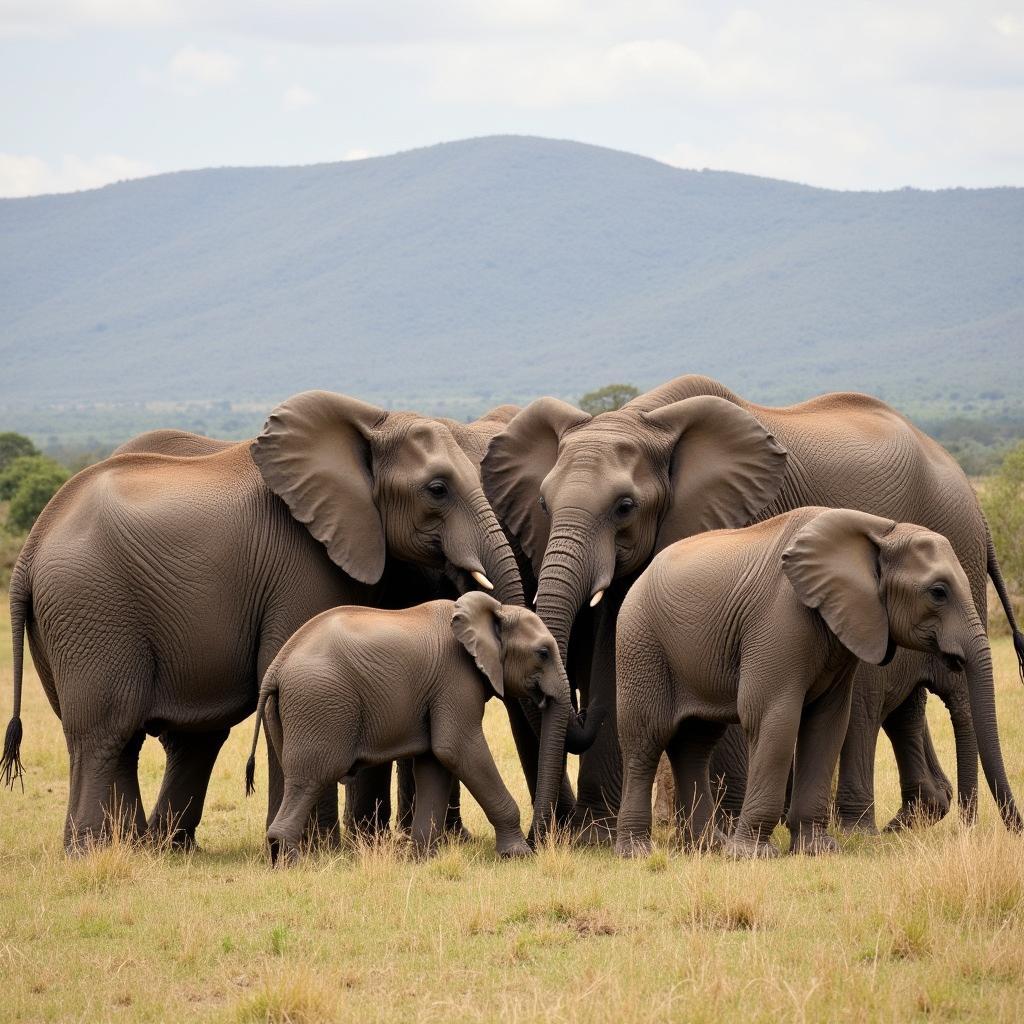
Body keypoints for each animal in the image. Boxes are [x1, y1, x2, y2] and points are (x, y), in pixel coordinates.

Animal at [2, 387, 528, 851]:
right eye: (437, 489)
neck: (369, 424)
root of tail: (29, 551)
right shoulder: (300, 561)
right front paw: (318, 849)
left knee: (128, 738)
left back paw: (136, 848)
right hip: (89, 606)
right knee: (104, 732)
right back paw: (92, 851)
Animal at [245, 589, 585, 860]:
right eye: (543, 652)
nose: (537, 841)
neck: (496, 610)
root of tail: (277, 667)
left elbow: (435, 761)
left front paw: (422, 858)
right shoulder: (454, 677)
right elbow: (457, 748)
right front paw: (518, 855)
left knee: (299, 777)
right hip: (321, 702)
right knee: (313, 776)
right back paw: (290, 862)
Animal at [614, 509, 991, 856]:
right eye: (938, 592)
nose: (969, 830)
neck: (879, 531)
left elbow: (827, 725)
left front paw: (817, 850)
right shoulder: (779, 619)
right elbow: (774, 718)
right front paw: (752, 855)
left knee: (694, 743)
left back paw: (710, 848)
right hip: (641, 644)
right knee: (647, 739)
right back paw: (638, 852)